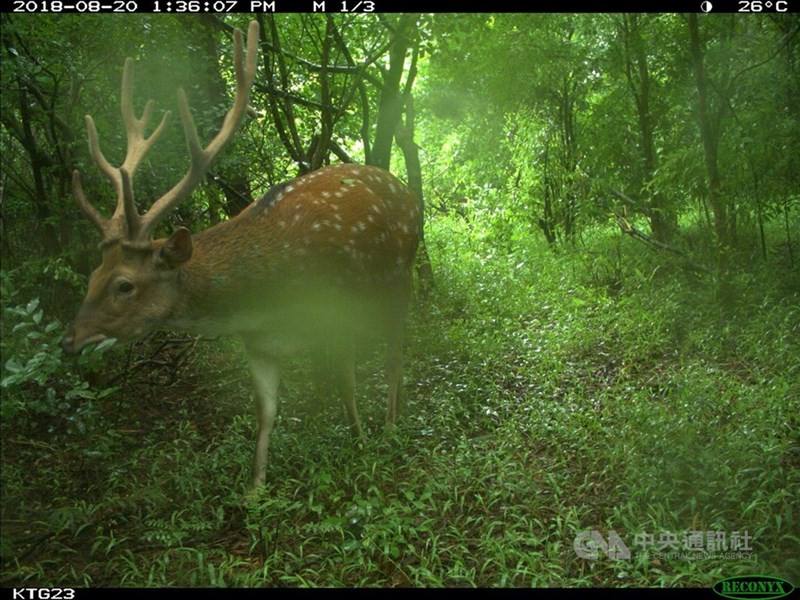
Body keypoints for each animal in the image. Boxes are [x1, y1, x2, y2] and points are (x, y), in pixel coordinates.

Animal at [61, 21, 421, 490]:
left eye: (125, 284)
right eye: (91, 276)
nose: (70, 340)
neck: (265, 301)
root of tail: (408, 192)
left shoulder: (334, 307)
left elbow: (346, 382)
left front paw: (361, 445)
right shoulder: (258, 343)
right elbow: (265, 413)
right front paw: (255, 489)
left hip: (401, 274)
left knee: (397, 347)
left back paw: (393, 422)